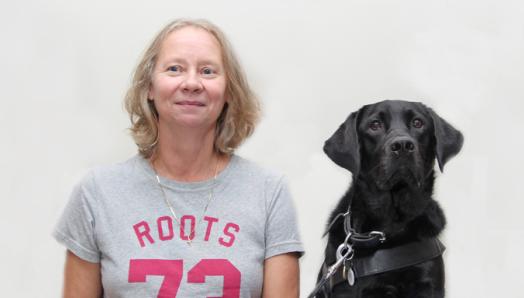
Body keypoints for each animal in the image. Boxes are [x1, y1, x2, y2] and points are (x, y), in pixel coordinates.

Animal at [316, 100, 462, 298]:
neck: (390, 225)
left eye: (418, 123)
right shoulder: (346, 289)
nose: (402, 145)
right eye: (375, 125)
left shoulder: (428, 284)